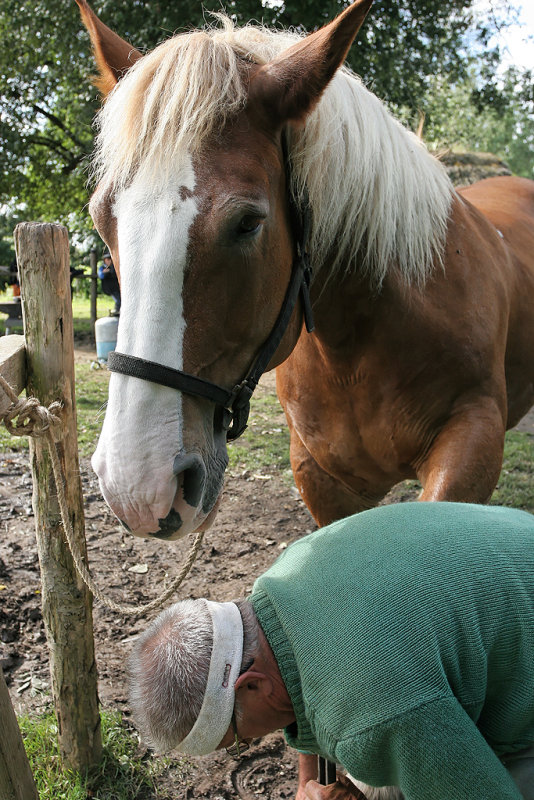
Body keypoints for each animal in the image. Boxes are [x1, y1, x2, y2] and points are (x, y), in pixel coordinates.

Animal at [76, 0, 534, 540]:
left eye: (248, 222)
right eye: (101, 217)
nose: (137, 487)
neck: (360, 346)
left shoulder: (471, 444)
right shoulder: (322, 477)